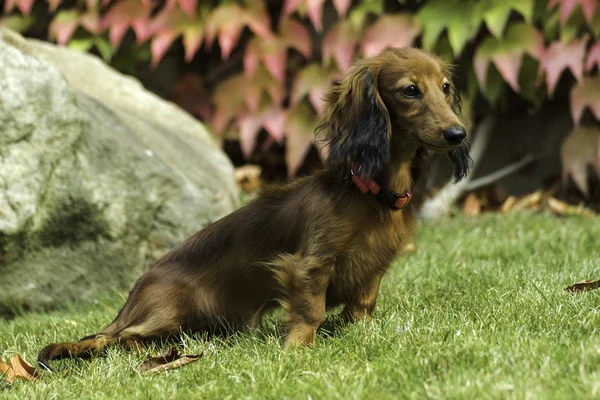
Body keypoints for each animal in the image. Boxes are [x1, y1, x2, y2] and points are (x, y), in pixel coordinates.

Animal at [37, 48, 472, 370]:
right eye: (410, 90)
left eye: (445, 87)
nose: (458, 133)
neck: (371, 194)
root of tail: (130, 300)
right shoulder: (307, 266)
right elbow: (310, 311)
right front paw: (298, 351)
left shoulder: (371, 272)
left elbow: (363, 308)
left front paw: (363, 334)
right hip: (169, 310)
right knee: (116, 338)